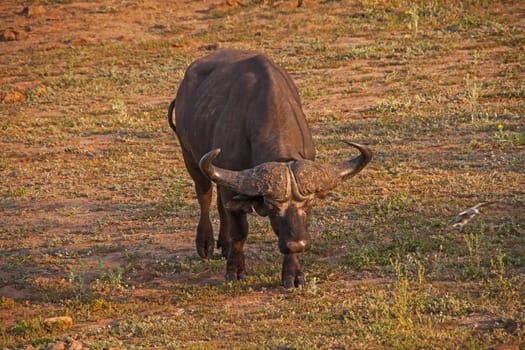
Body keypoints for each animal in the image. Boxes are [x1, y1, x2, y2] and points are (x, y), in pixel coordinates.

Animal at [166, 50, 370, 290]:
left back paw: (224, 245)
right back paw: (205, 243)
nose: (298, 243)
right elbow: (239, 231)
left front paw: (293, 274)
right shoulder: (229, 183)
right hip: (189, 155)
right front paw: (235, 271)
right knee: (204, 195)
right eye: (272, 207)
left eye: (309, 204)